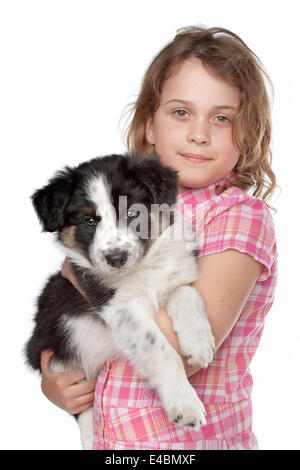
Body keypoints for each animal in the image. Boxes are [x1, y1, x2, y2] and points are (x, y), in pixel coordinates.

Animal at [24, 153, 214, 448]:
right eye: (89, 221)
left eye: (133, 213)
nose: (116, 258)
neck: (142, 268)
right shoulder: (116, 306)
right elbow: (159, 349)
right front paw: (186, 405)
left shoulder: (175, 277)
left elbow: (187, 293)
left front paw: (199, 344)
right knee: (82, 408)